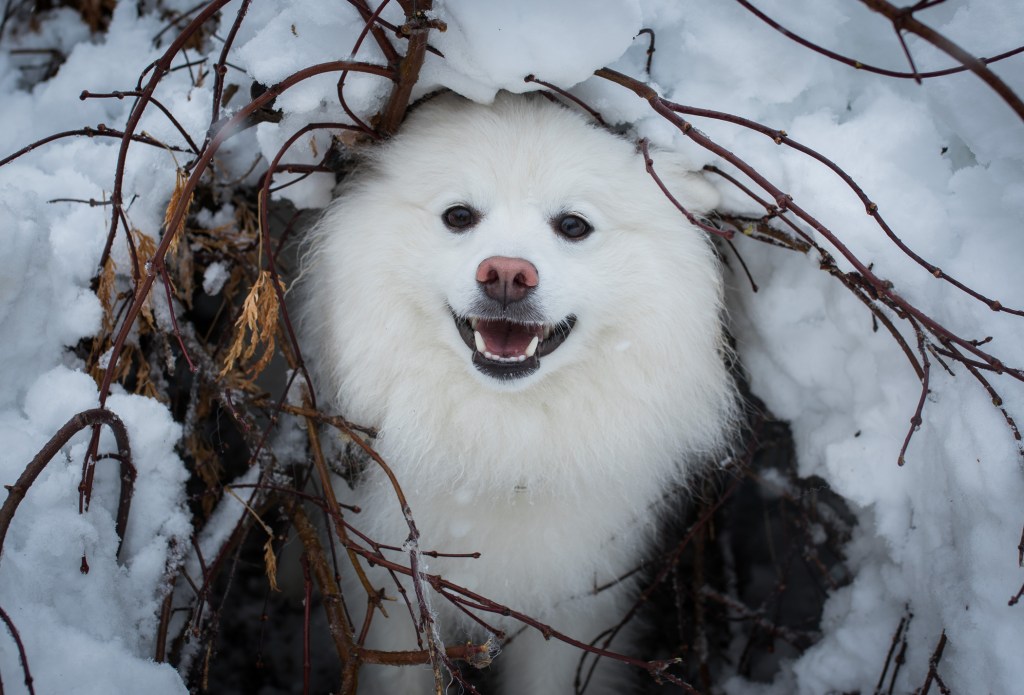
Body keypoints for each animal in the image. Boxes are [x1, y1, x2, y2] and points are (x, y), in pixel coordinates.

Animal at [299, 93, 741, 695]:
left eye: (573, 225)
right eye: (459, 216)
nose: (507, 273)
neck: (501, 445)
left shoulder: (572, 610)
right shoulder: (391, 598)